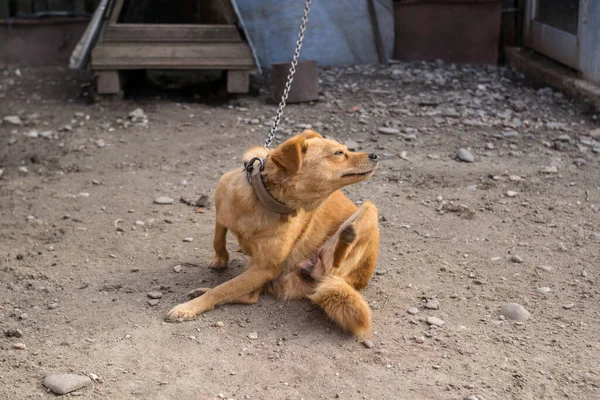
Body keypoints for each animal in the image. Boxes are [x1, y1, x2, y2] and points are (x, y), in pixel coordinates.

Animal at [166, 130, 380, 338]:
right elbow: (218, 239)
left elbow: (222, 289)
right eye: (339, 153)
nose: (376, 155)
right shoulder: (222, 215)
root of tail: (356, 281)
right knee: (249, 295)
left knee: (335, 260)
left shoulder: (266, 268)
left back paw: (347, 234)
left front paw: (189, 308)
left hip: (370, 209)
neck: (265, 200)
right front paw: (219, 260)